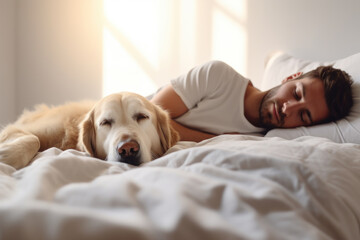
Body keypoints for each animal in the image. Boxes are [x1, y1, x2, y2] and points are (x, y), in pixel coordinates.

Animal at [0, 92, 179, 169]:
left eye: (142, 117)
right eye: (105, 122)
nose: (128, 148)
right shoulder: (20, 128)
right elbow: (33, 139)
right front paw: (7, 158)